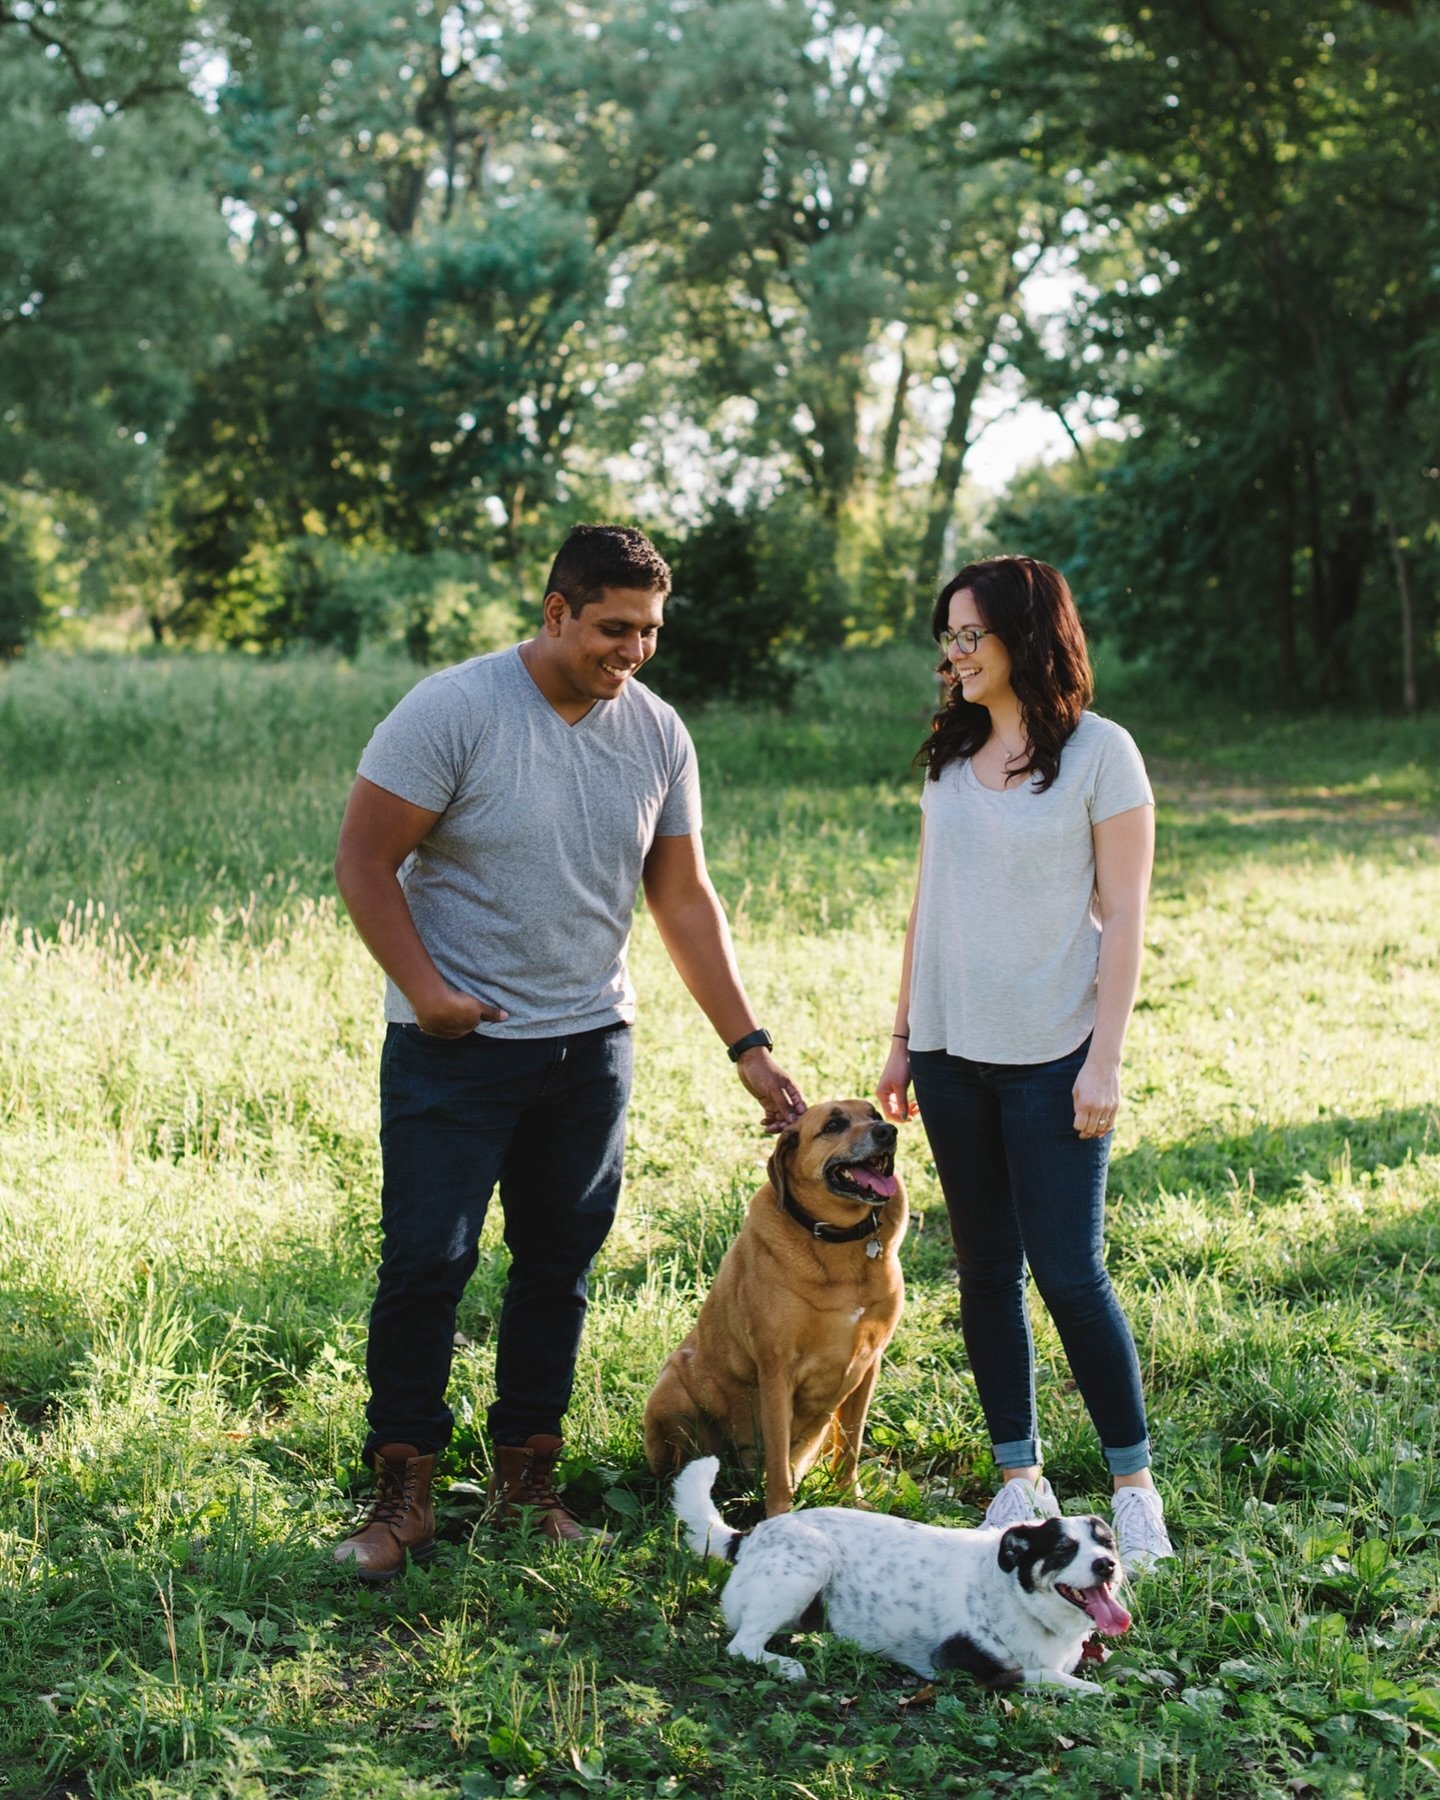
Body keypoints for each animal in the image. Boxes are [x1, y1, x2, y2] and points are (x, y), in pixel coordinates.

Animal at [644, 1101, 907, 1512]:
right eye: (834, 1124)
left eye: (874, 1113)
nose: (888, 1131)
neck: (837, 1241)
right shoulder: (776, 1369)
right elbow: (778, 1464)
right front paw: (779, 1514)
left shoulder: (869, 1365)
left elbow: (850, 1444)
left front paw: (849, 1498)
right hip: (671, 1389)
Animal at [676, 1454, 1137, 1692]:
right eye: (1063, 1549)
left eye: (1108, 1542)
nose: (1107, 1565)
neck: (1018, 1598)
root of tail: (749, 1536)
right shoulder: (968, 1668)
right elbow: (1052, 1677)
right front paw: (1092, 1691)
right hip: (809, 1561)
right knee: (742, 1646)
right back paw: (785, 1666)